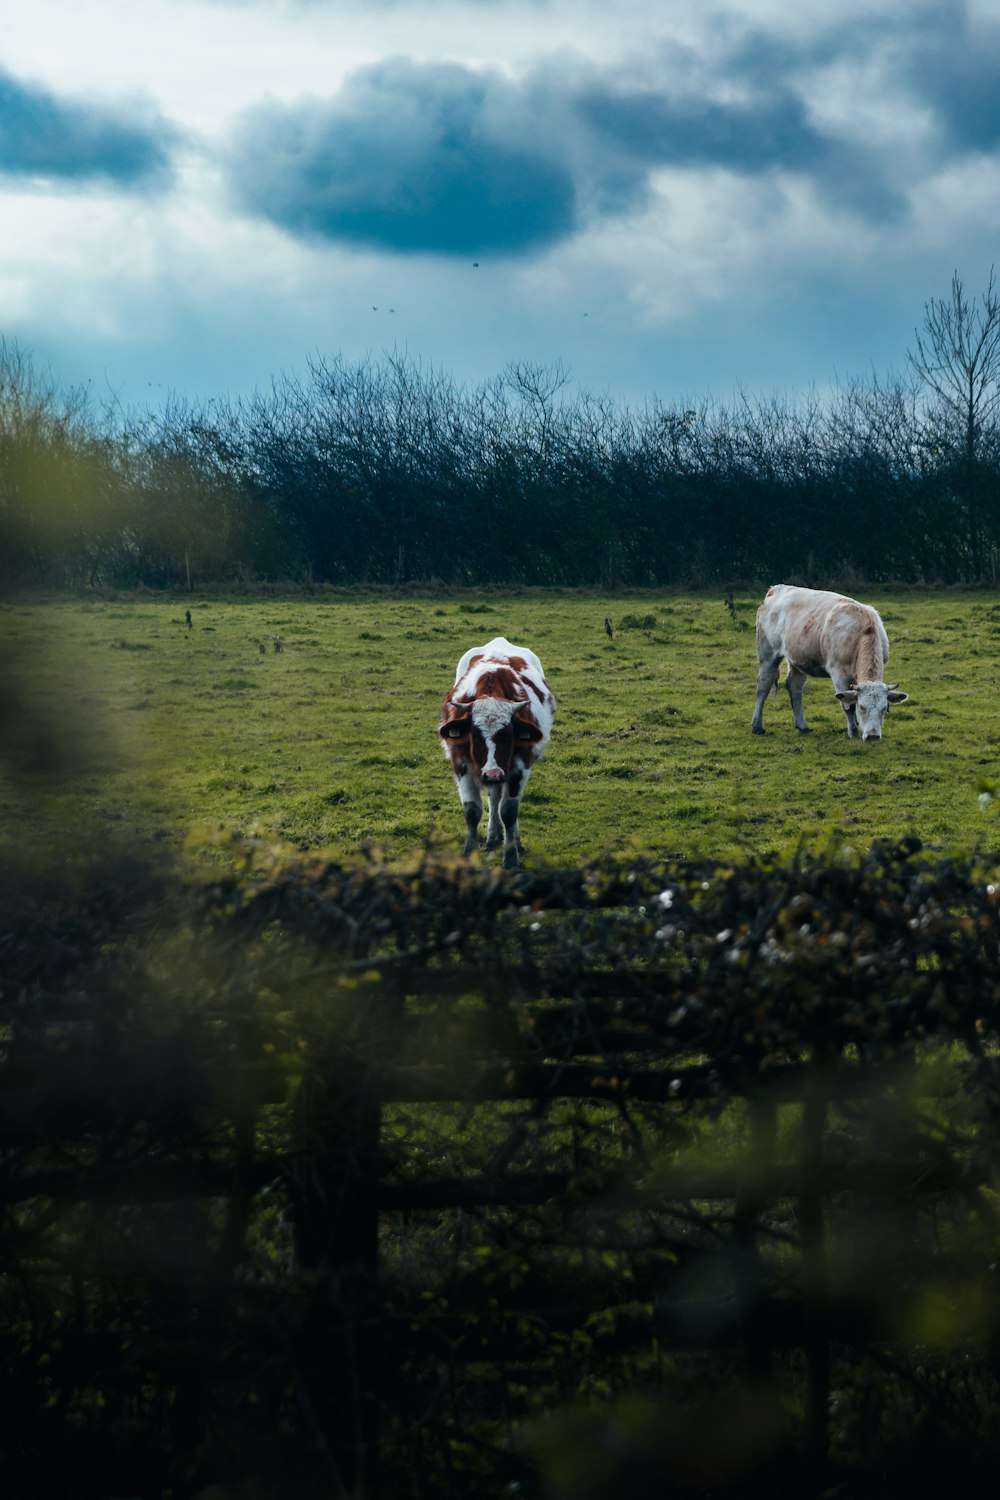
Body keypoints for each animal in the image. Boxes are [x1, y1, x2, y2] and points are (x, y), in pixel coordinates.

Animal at [440, 636, 560, 870]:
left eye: (508, 734)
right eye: (475, 734)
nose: (492, 774)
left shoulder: (519, 767)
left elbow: (509, 811)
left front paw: (511, 856)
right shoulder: (461, 763)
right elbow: (472, 811)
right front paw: (469, 853)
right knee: (493, 797)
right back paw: (493, 837)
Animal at [749, 582, 905, 741]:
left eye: (884, 708)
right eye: (862, 707)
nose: (873, 736)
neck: (863, 631)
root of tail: (778, 588)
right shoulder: (838, 673)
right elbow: (848, 706)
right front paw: (854, 732)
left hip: (798, 659)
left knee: (794, 686)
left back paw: (802, 725)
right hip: (768, 654)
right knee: (763, 686)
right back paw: (757, 726)